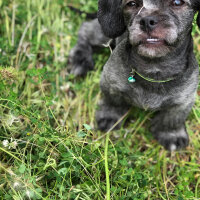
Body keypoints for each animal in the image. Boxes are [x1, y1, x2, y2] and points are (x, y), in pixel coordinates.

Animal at [68, 0, 199, 150]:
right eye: (131, 3)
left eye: (177, 2)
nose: (147, 21)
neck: (154, 68)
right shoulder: (110, 83)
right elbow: (112, 102)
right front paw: (110, 116)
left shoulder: (184, 100)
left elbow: (173, 118)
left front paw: (171, 134)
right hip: (104, 35)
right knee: (85, 30)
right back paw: (80, 58)